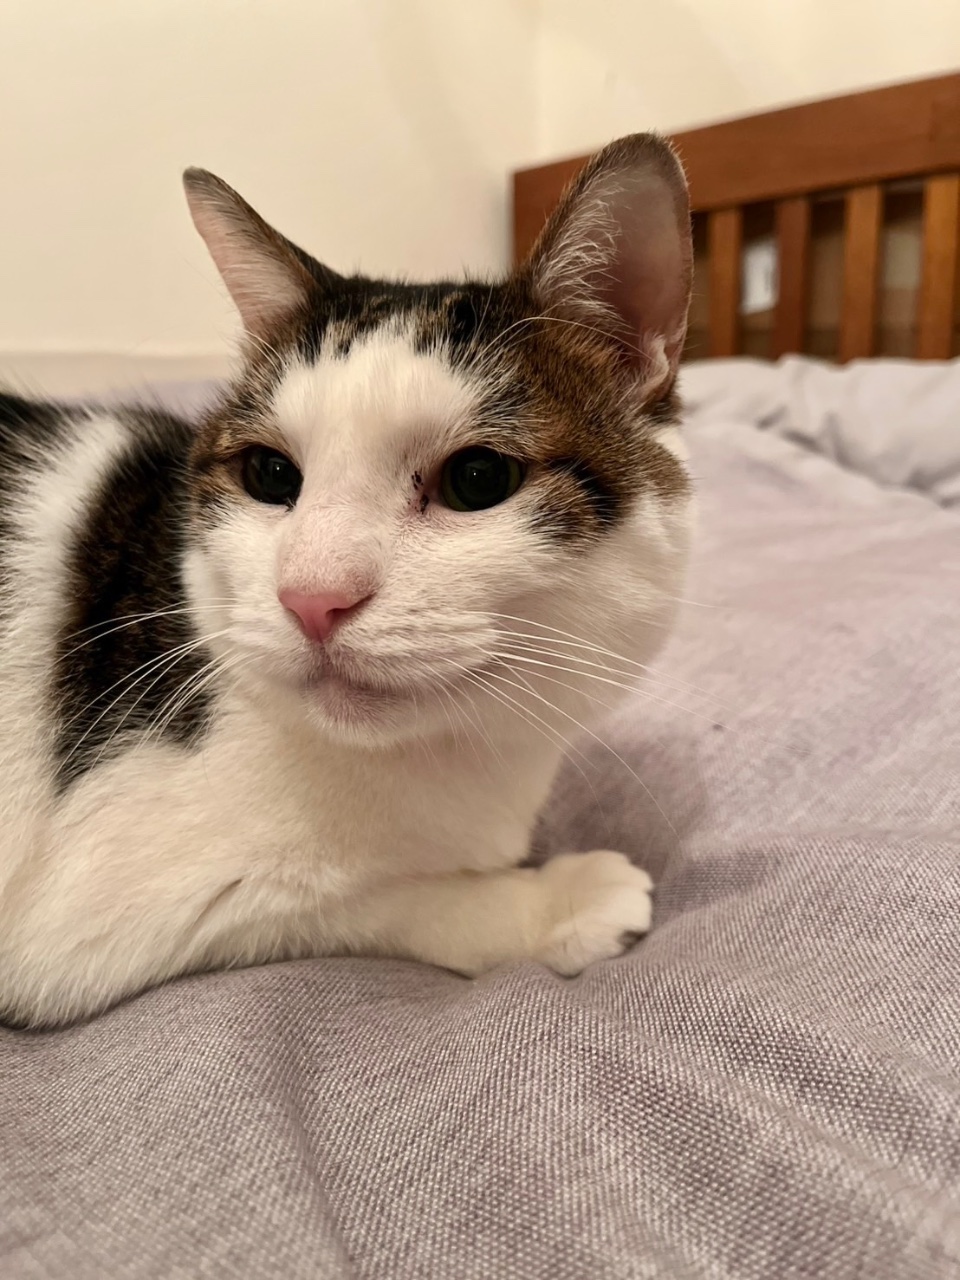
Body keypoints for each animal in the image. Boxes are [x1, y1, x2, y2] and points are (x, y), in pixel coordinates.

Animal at [0, 134, 693, 1028]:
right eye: (269, 474)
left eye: (477, 479)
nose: (312, 598)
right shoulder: (96, 920)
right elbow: (384, 896)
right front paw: (558, 900)